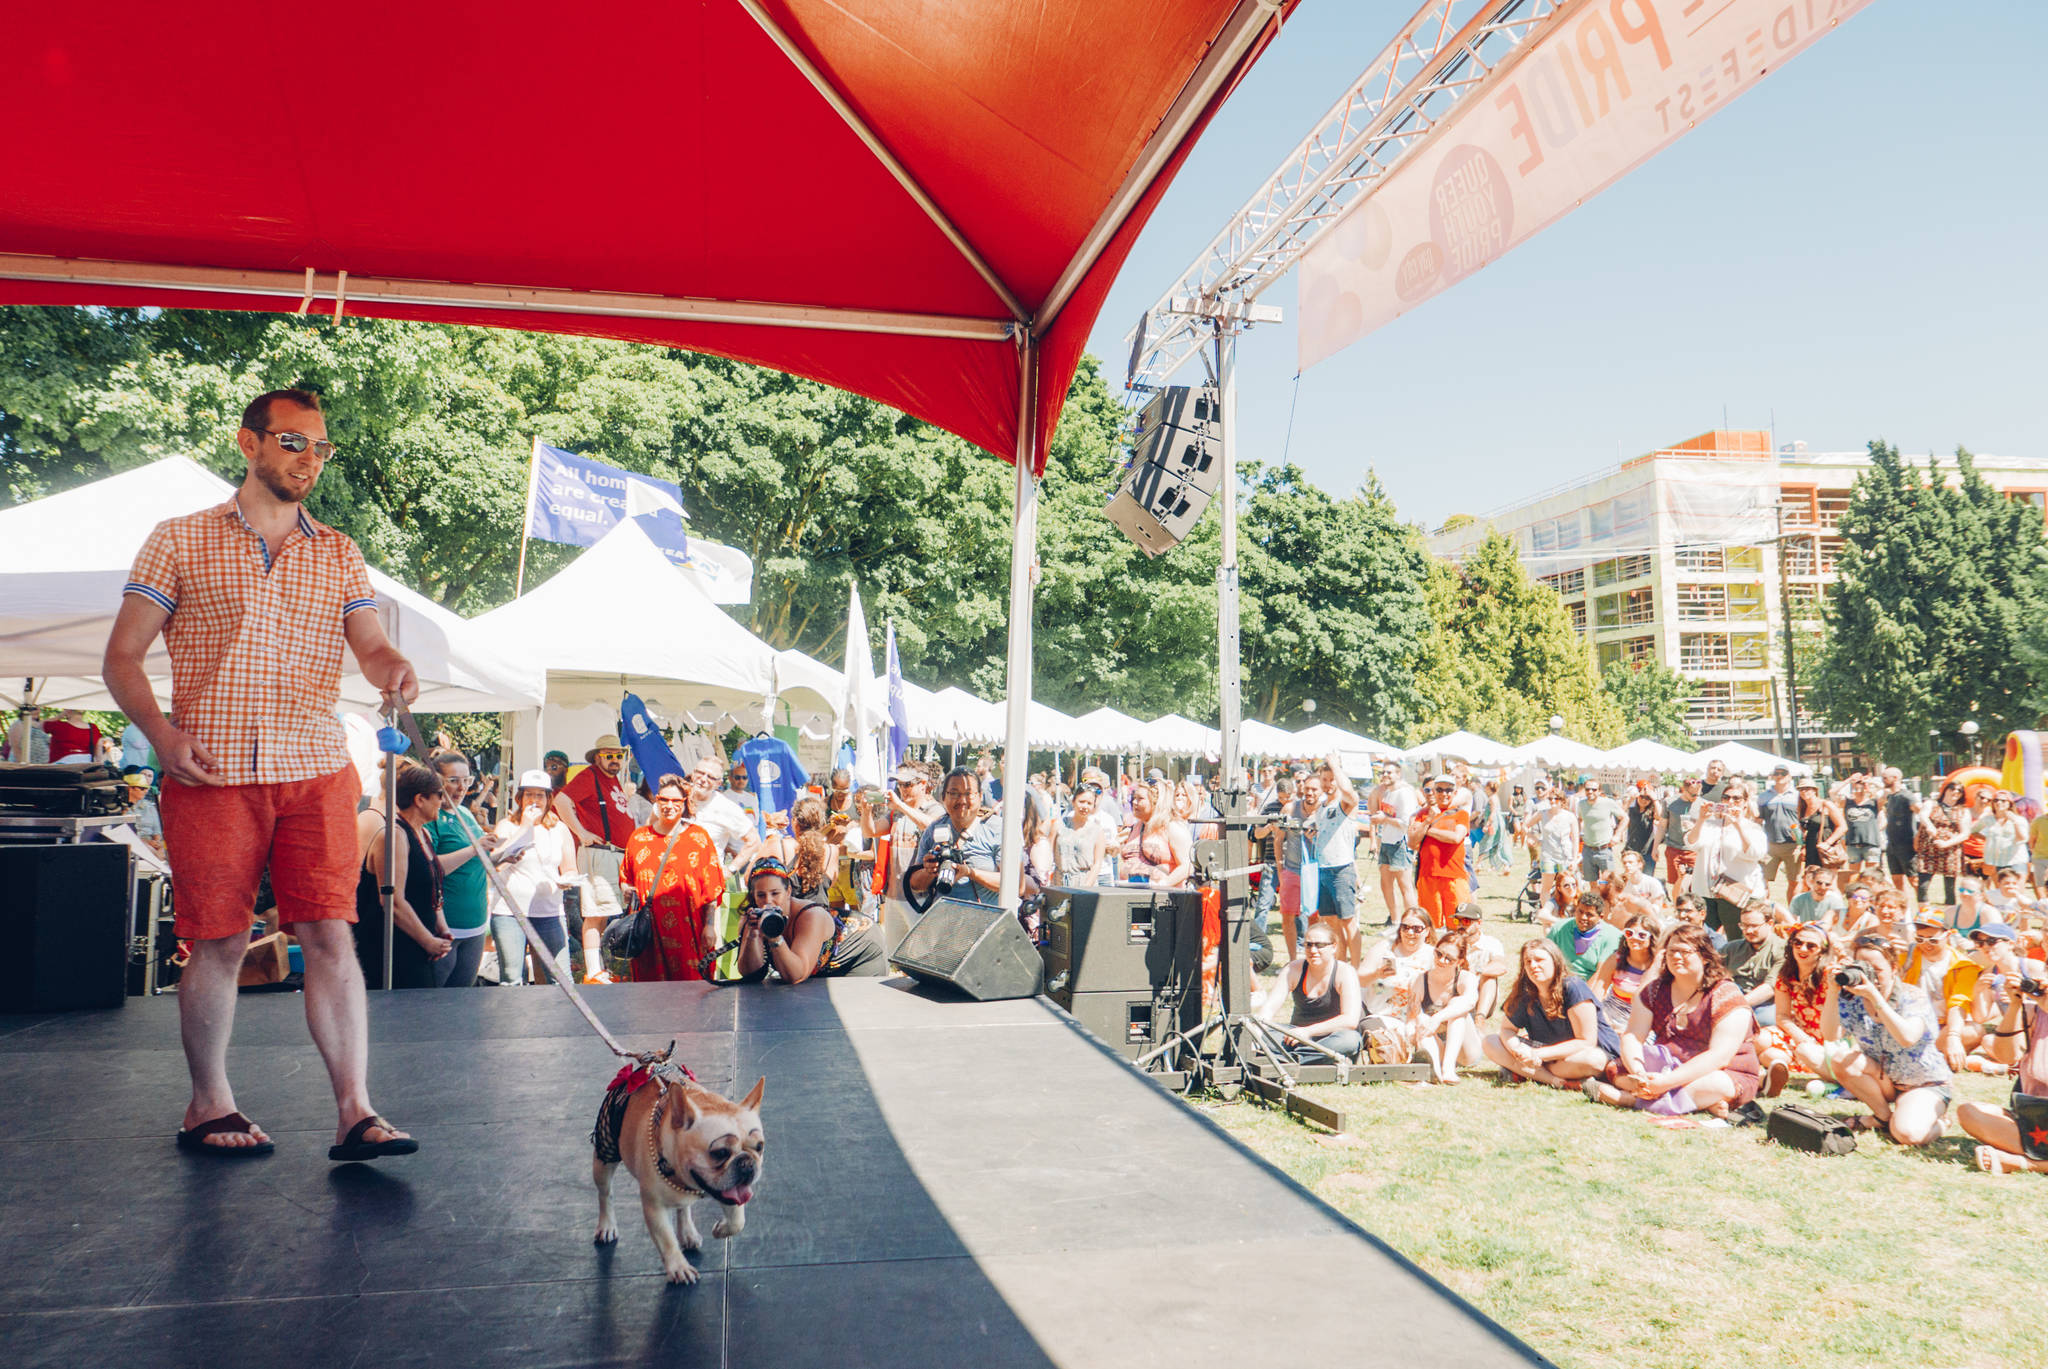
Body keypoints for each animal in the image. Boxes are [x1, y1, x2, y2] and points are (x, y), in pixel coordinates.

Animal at [593, 1073, 770, 1287]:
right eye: (720, 1153)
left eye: (759, 1147)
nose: (746, 1163)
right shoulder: (655, 1207)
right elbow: (666, 1239)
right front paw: (679, 1268)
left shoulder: (730, 1190)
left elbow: (737, 1221)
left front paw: (721, 1229)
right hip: (604, 1156)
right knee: (605, 1194)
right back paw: (606, 1225)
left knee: (683, 1206)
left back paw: (688, 1233)